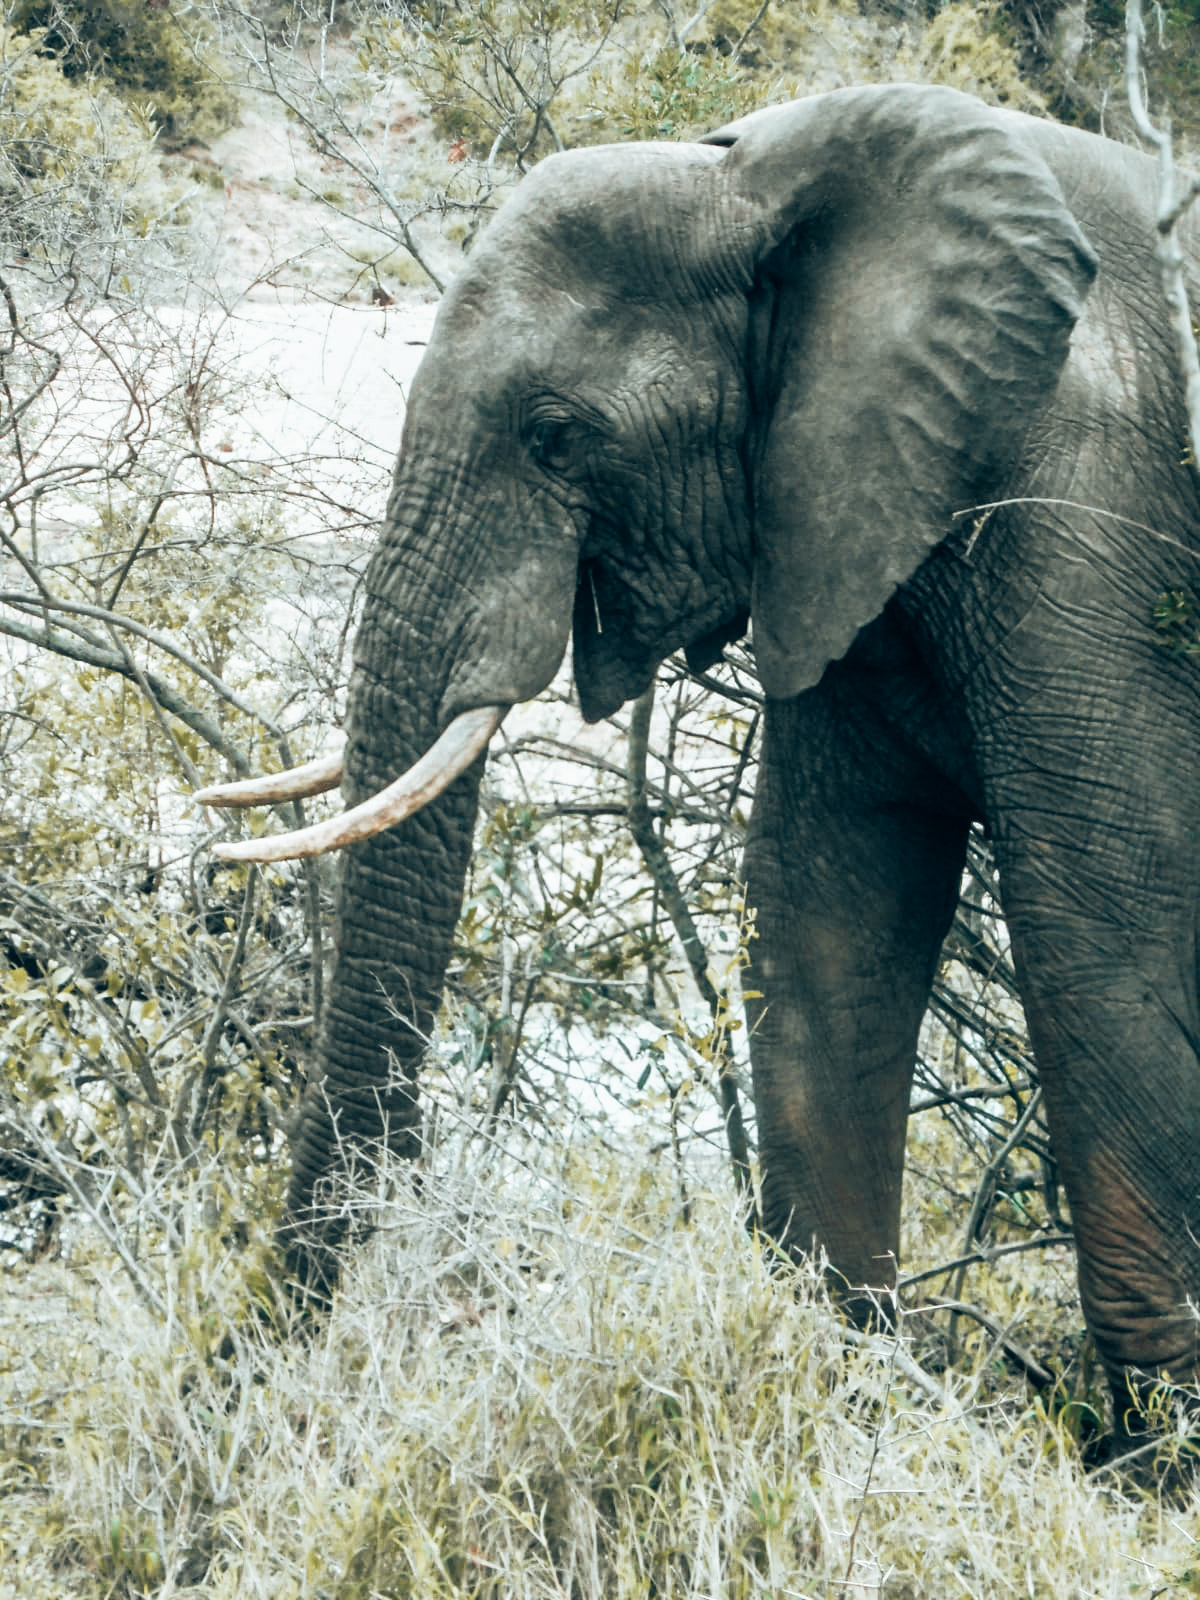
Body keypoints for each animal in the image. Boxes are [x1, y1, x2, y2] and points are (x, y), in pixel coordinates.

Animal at [197, 84, 1200, 1414]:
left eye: (556, 437)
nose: (231, 1375)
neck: (763, 182)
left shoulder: (1093, 521)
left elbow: (1105, 928)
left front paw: (1153, 1441)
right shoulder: (839, 513)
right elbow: (828, 909)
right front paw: (845, 1381)